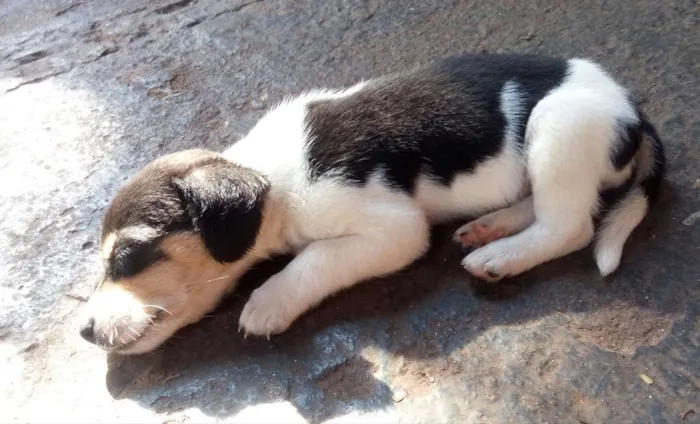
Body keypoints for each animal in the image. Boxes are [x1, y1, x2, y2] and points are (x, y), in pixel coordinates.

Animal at [79, 54, 664, 356]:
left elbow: (313, 260)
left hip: (558, 126)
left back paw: (499, 257)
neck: (270, 178)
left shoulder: (394, 230)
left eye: (127, 258)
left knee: (568, 226)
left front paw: (269, 301)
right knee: (538, 208)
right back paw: (490, 227)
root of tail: (632, 110)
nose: (84, 331)